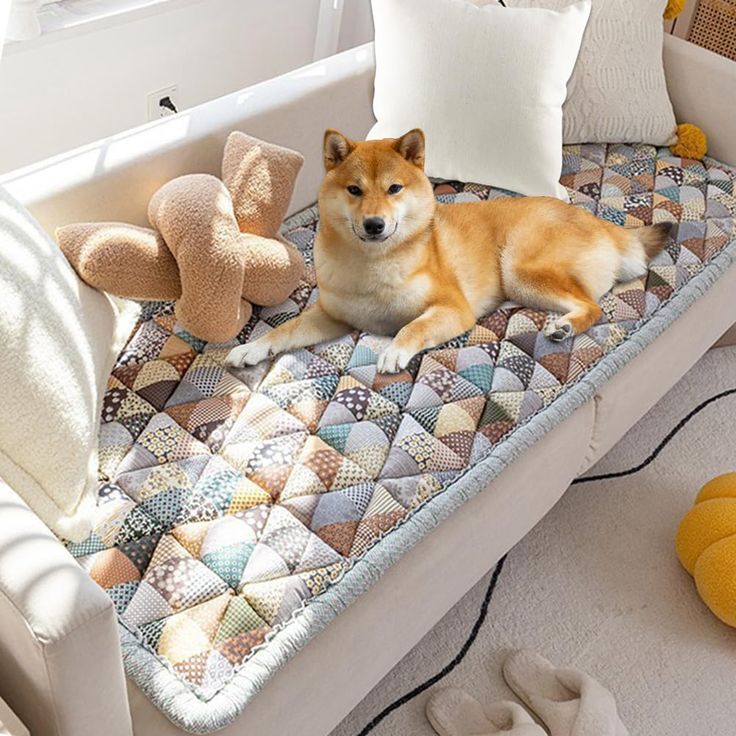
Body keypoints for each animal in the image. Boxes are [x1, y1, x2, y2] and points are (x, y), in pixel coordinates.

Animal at [227, 127, 668, 376]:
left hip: (518, 270)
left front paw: (395, 351)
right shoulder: (333, 316)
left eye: (394, 189)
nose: (374, 224)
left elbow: (411, 327)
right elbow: (285, 330)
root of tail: (602, 223)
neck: (374, 269)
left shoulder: (453, 308)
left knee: (592, 306)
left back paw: (564, 326)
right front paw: (251, 348)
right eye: (354, 190)